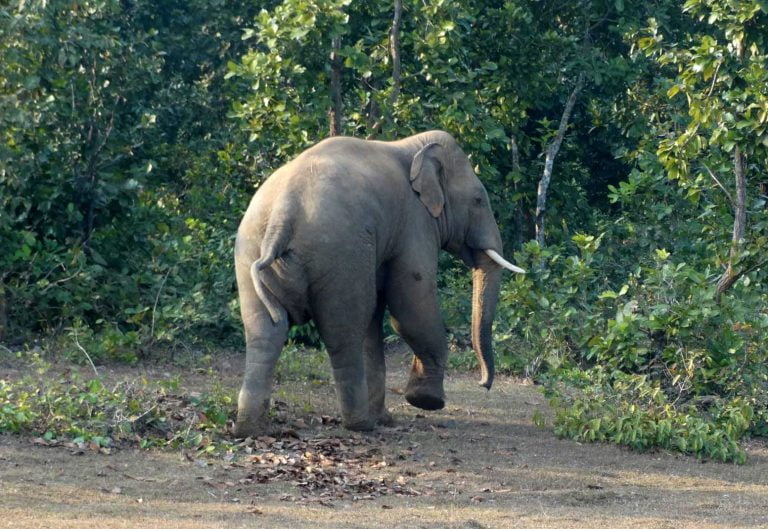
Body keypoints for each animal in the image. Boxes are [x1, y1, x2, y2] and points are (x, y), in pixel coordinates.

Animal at [233, 130, 524, 437]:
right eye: (479, 200)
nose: (484, 384)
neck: (411, 148)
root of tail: (282, 216)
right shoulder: (414, 224)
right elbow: (411, 305)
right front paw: (426, 401)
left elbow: (378, 314)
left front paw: (389, 417)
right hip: (341, 254)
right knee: (344, 332)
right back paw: (361, 424)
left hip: (249, 252)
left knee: (264, 332)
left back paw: (250, 428)